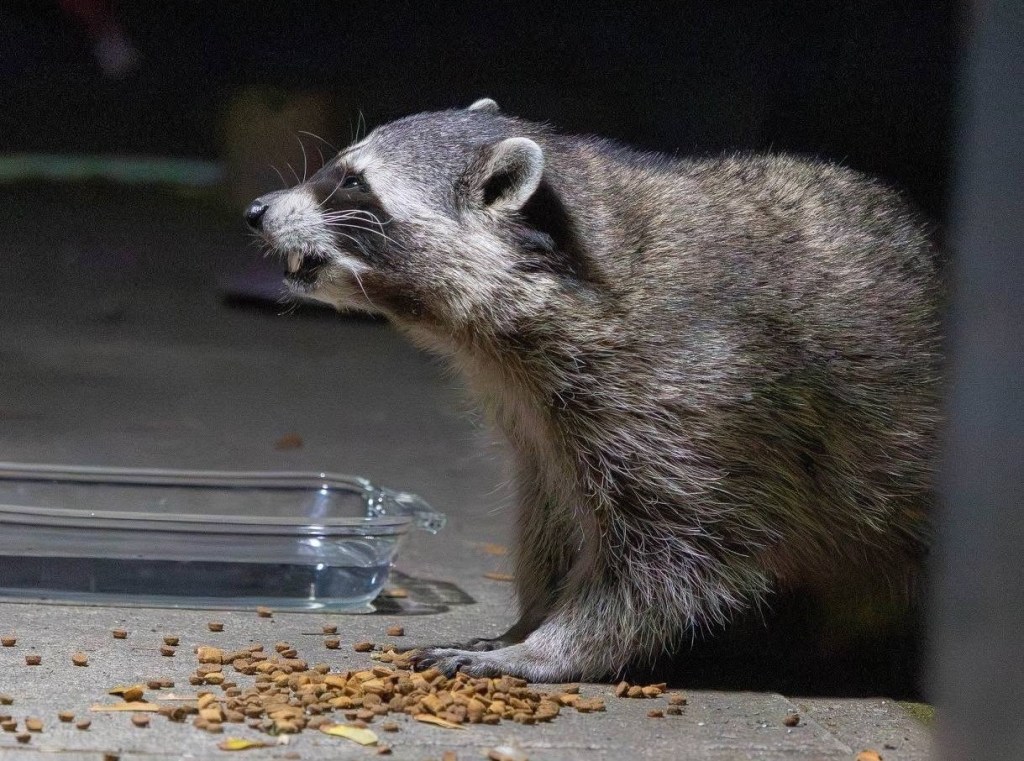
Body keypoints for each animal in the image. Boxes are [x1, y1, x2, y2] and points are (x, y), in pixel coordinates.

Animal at [245, 99, 942, 683]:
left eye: (354, 182)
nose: (256, 210)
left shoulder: (694, 394)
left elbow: (672, 559)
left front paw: (549, 647)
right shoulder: (540, 416)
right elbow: (551, 512)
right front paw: (529, 621)